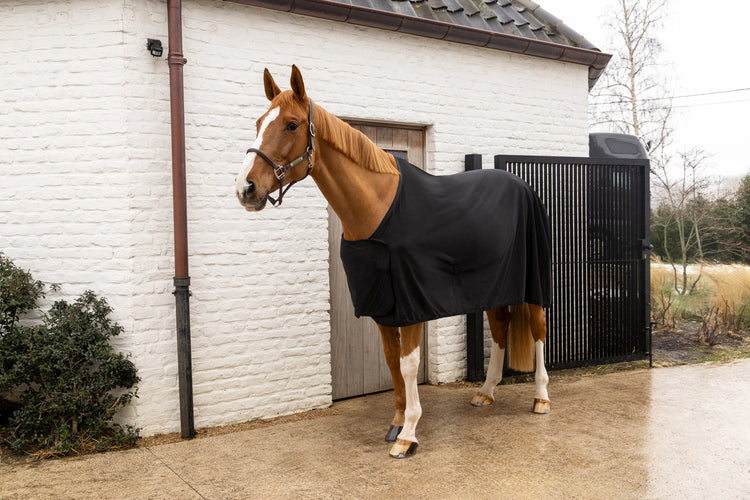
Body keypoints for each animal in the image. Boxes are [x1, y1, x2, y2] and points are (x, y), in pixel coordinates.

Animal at [235, 66, 552, 459]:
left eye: (291, 124)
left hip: (533, 283)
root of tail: (523, 187)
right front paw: (397, 421)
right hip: (494, 286)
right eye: (259, 122)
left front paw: (409, 434)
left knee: (538, 330)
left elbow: (409, 363)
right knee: (500, 328)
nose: (245, 188)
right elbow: (390, 361)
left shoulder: (412, 301)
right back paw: (486, 392)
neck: (377, 209)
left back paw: (541, 398)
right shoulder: (382, 305)